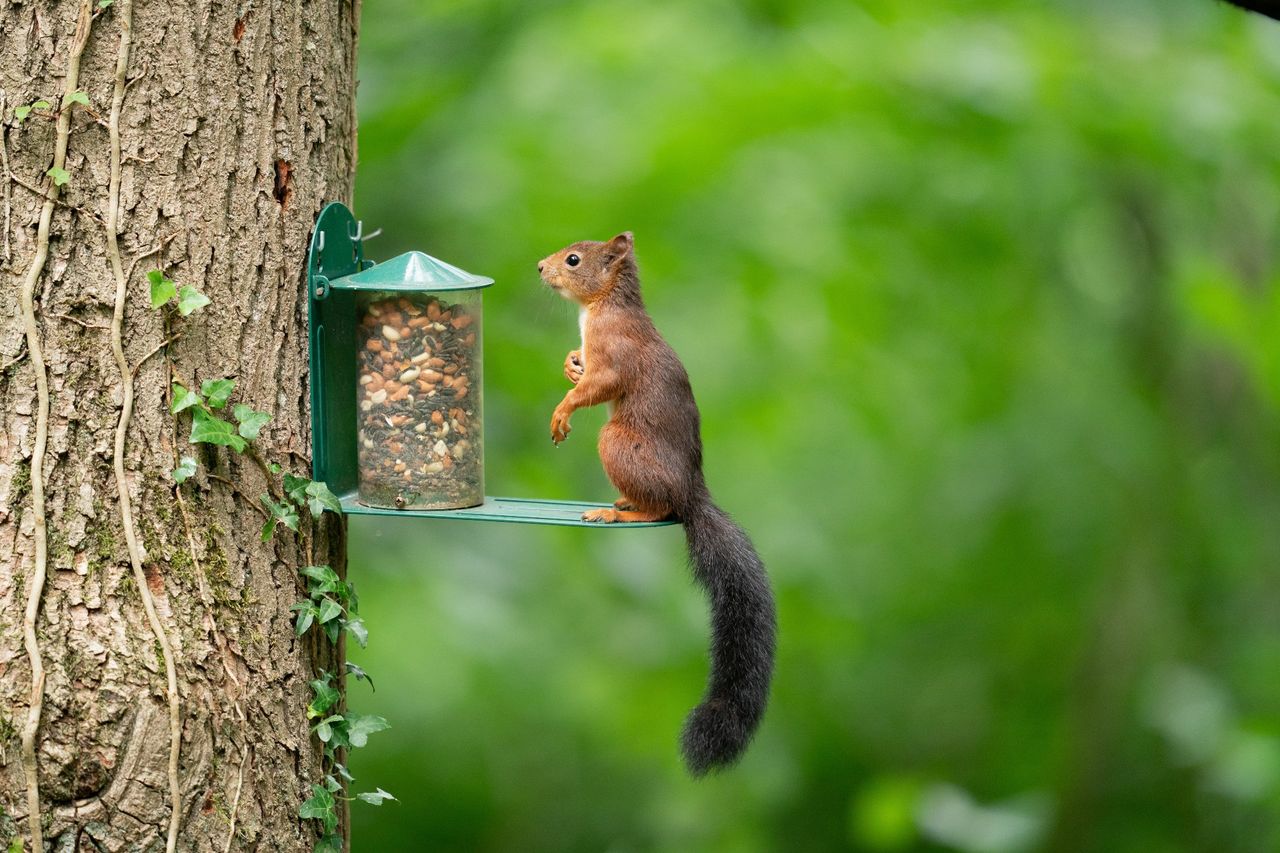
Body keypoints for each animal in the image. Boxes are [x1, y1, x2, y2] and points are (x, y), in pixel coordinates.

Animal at [537, 232, 777, 775]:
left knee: (661, 510)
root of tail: (693, 494)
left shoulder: (613, 351)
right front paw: (569, 363)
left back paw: (618, 510)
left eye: (574, 260)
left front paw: (563, 410)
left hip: (617, 442)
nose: (540, 267)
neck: (600, 306)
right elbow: (580, 369)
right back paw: (622, 501)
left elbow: (598, 384)